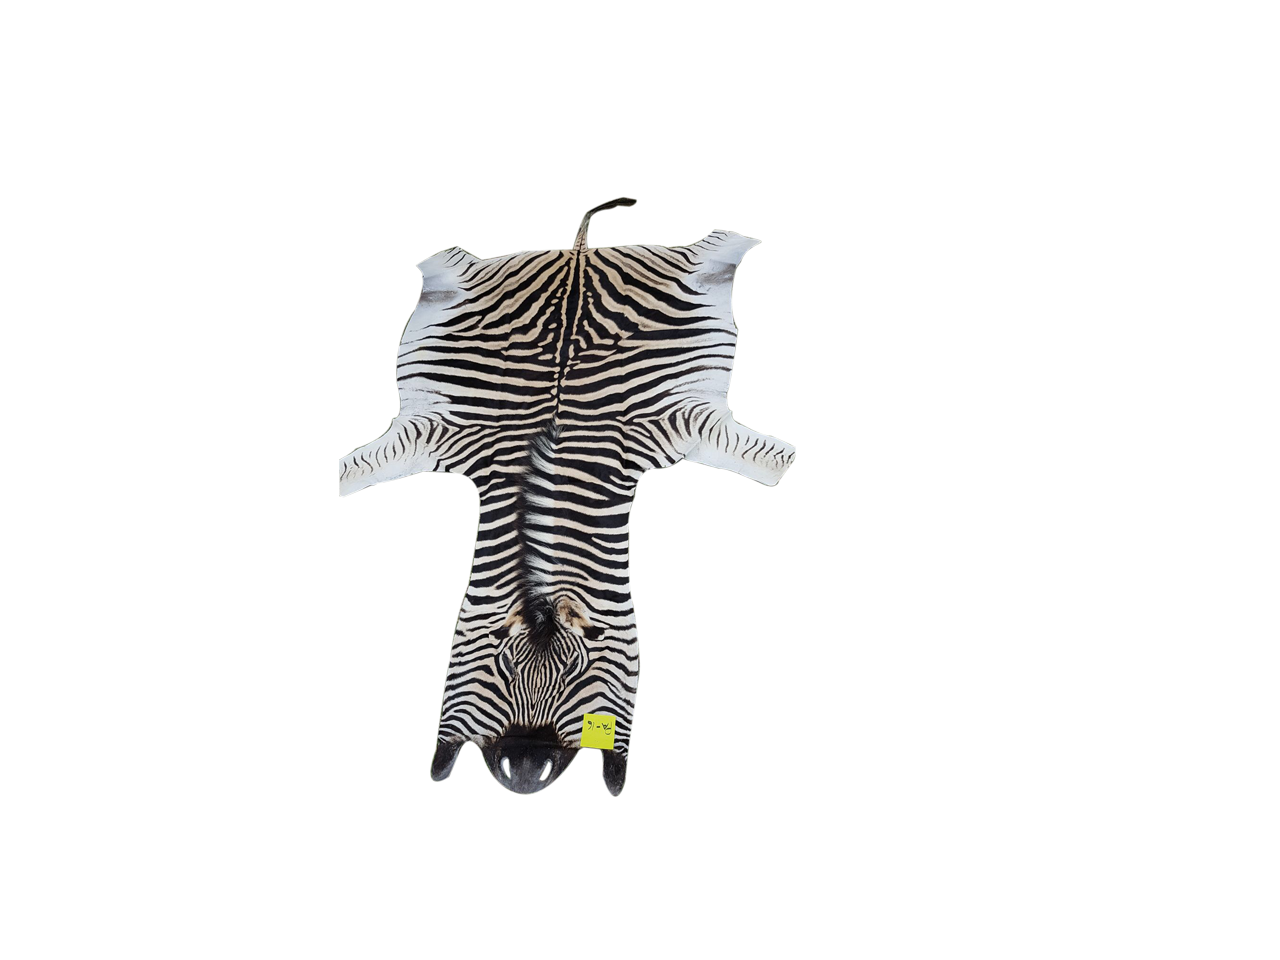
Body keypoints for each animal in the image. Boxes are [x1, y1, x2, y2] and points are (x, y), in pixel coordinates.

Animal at [337, 199, 796, 795]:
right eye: (503, 666)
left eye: (578, 672)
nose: (526, 775)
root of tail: (577, 252)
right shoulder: (436, 430)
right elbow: (355, 469)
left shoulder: (684, 423)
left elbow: (775, 458)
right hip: (448, 270)